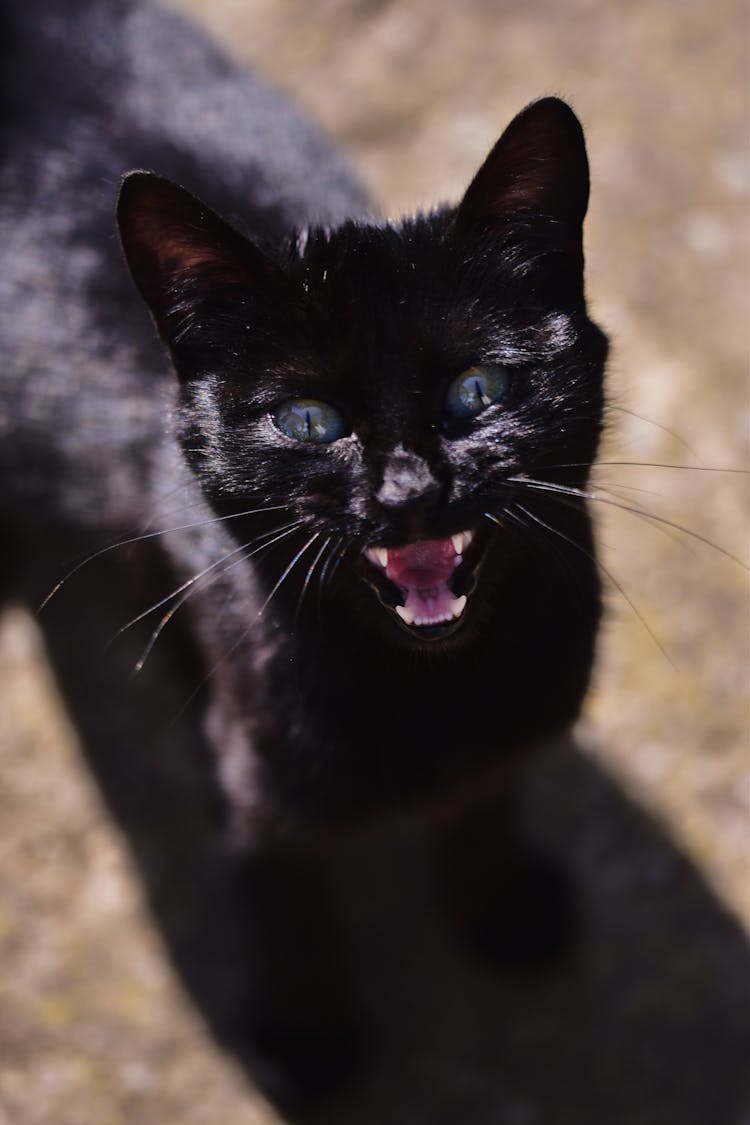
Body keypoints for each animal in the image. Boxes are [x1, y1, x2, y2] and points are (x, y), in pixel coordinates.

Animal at [0, 0, 607, 1098]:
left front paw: (498, 908)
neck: (437, 697)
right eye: (310, 421)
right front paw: (308, 1038)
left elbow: (490, 801)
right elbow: (286, 894)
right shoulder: (251, 760)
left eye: (477, 393)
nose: (408, 491)